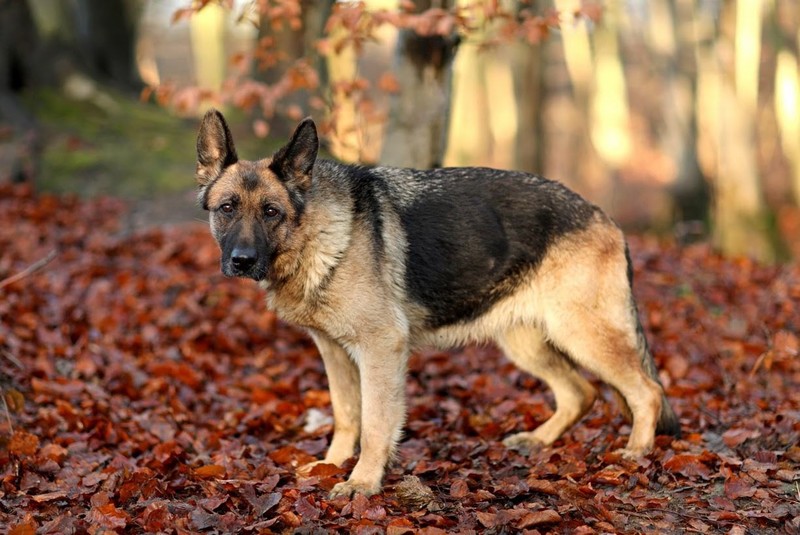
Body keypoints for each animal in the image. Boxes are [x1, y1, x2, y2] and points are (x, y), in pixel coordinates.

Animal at [195, 109, 680, 498]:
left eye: (271, 212)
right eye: (227, 208)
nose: (241, 261)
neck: (316, 231)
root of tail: (605, 217)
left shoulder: (381, 349)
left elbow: (375, 422)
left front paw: (362, 482)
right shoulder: (333, 352)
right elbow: (346, 414)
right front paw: (332, 466)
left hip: (581, 334)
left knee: (647, 390)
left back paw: (636, 452)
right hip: (527, 344)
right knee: (581, 393)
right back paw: (539, 441)